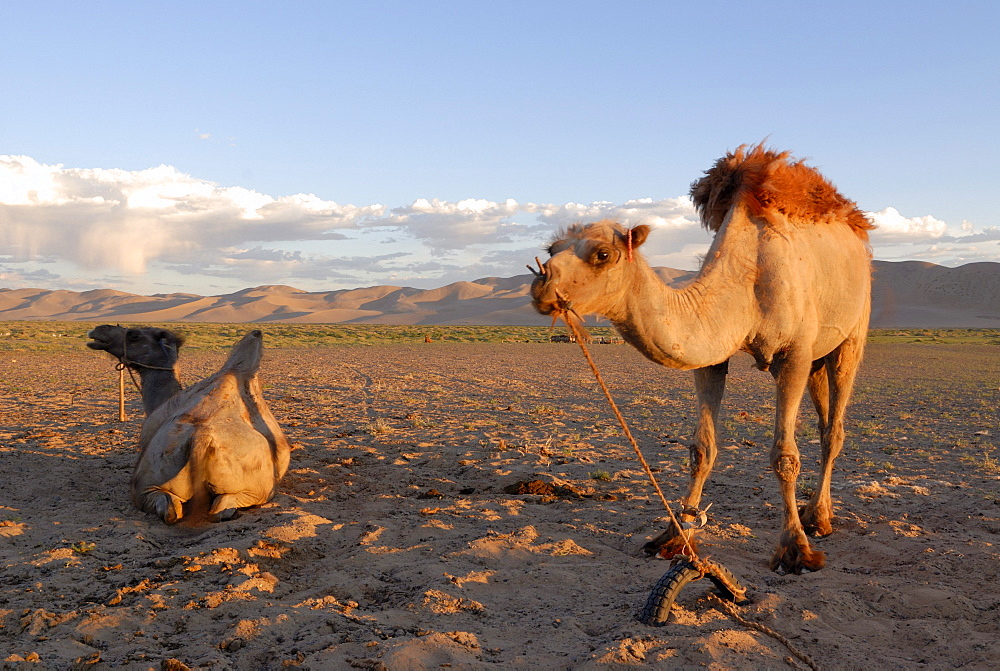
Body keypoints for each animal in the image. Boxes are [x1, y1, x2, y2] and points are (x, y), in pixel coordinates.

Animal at [532, 144, 876, 576]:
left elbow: (784, 456)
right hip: (818, 357)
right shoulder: (714, 357)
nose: (541, 284)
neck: (747, 283)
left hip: (852, 334)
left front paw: (795, 549)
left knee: (834, 430)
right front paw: (675, 536)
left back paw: (819, 519)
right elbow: (702, 449)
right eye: (551, 250)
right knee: (824, 419)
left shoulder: (793, 354)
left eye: (603, 253)